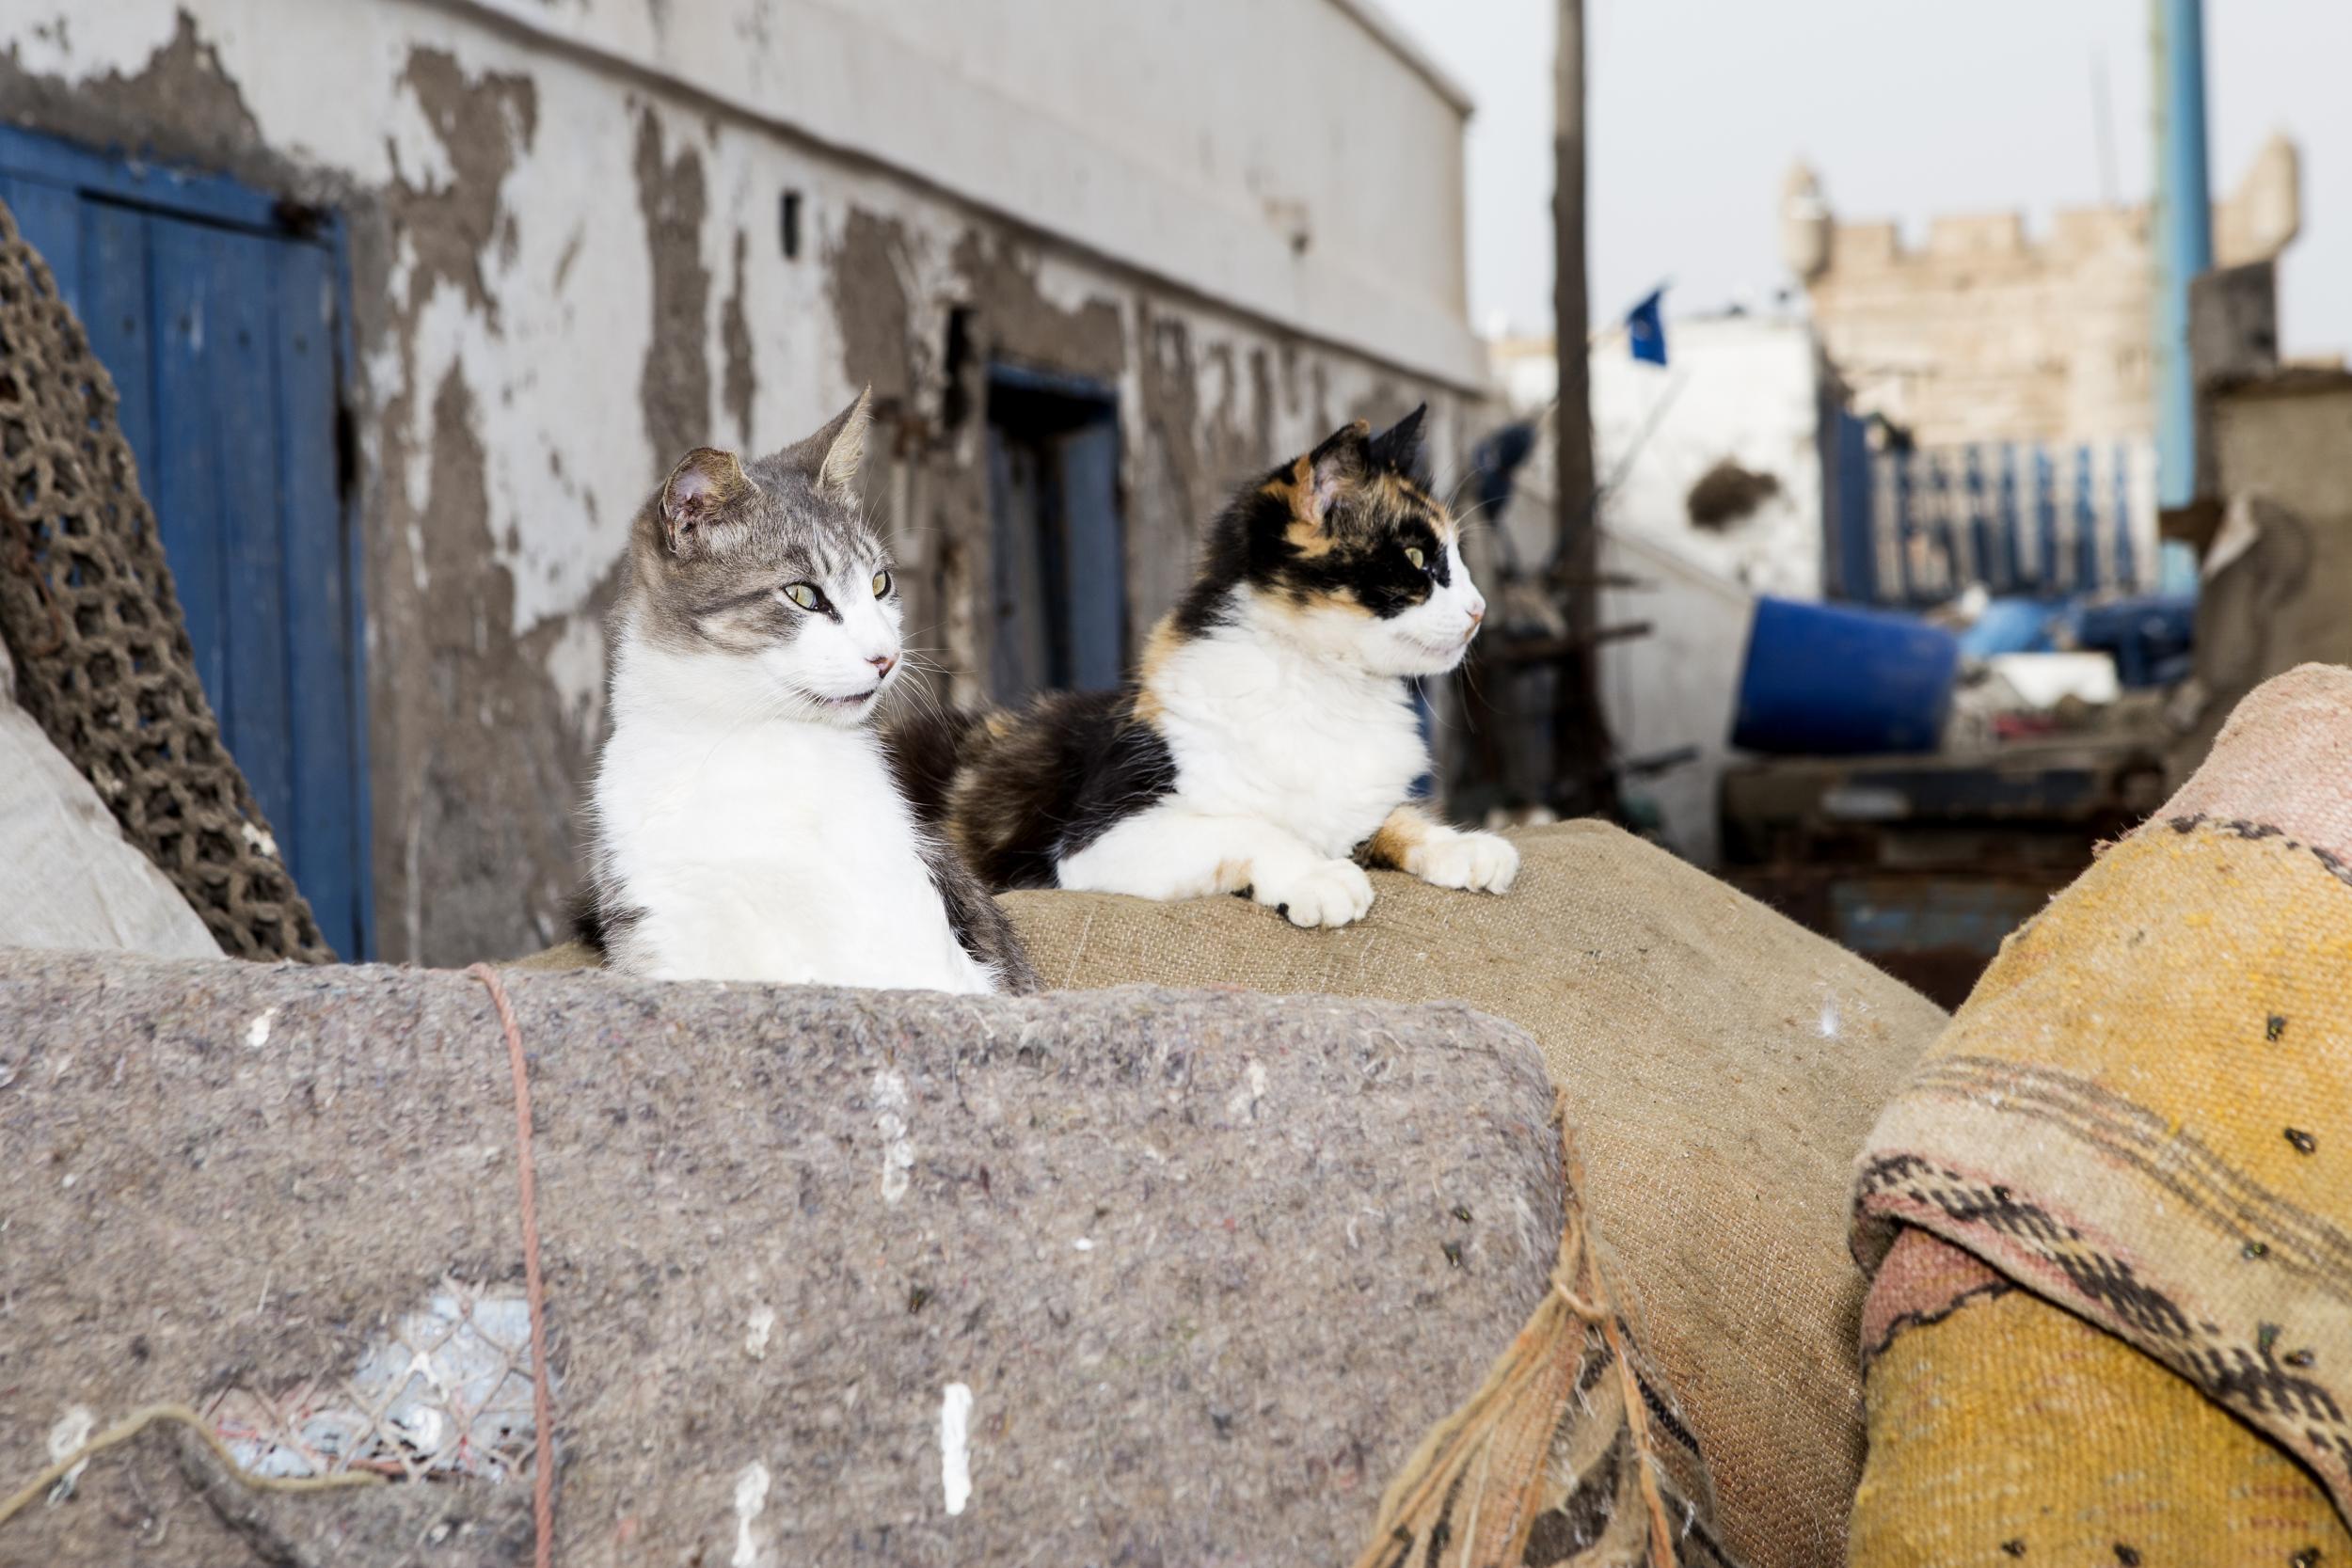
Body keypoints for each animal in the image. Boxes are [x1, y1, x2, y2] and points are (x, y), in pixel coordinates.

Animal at [889, 404, 1515, 930]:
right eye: (1416, 559)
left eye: (1457, 558)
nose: (1480, 610)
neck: (1327, 689)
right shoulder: (1099, 838)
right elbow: (1250, 826)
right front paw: (1318, 875)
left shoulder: (1357, 802)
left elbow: (1393, 815)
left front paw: (1462, 844)